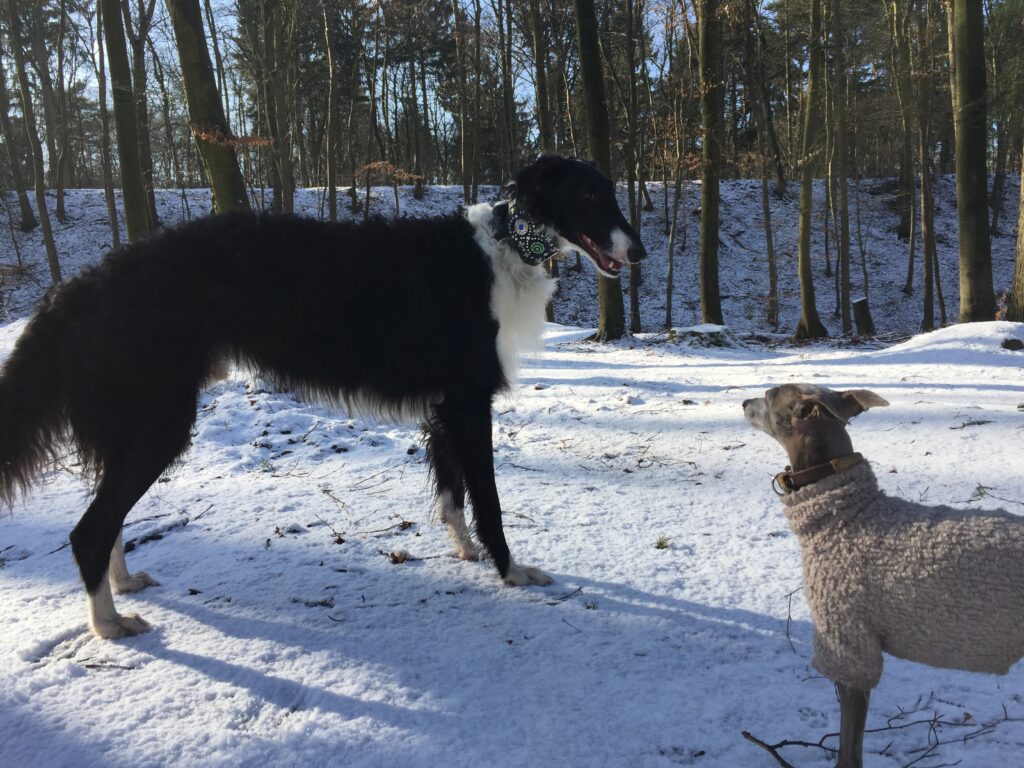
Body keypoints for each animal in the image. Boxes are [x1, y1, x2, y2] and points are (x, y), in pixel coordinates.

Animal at [0, 153, 643, 638]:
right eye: (588, 197)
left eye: (611, 192)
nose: (636, 253)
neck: (503, 246)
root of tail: (84, 282)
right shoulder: (468, 399)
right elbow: (487, 499)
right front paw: (510, 570)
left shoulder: (444, 407)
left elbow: (451, 493)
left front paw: (465, 552)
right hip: (160, 425)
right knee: (88, 529)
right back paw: (108, 625)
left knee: (106, 522)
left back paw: (122, 586)